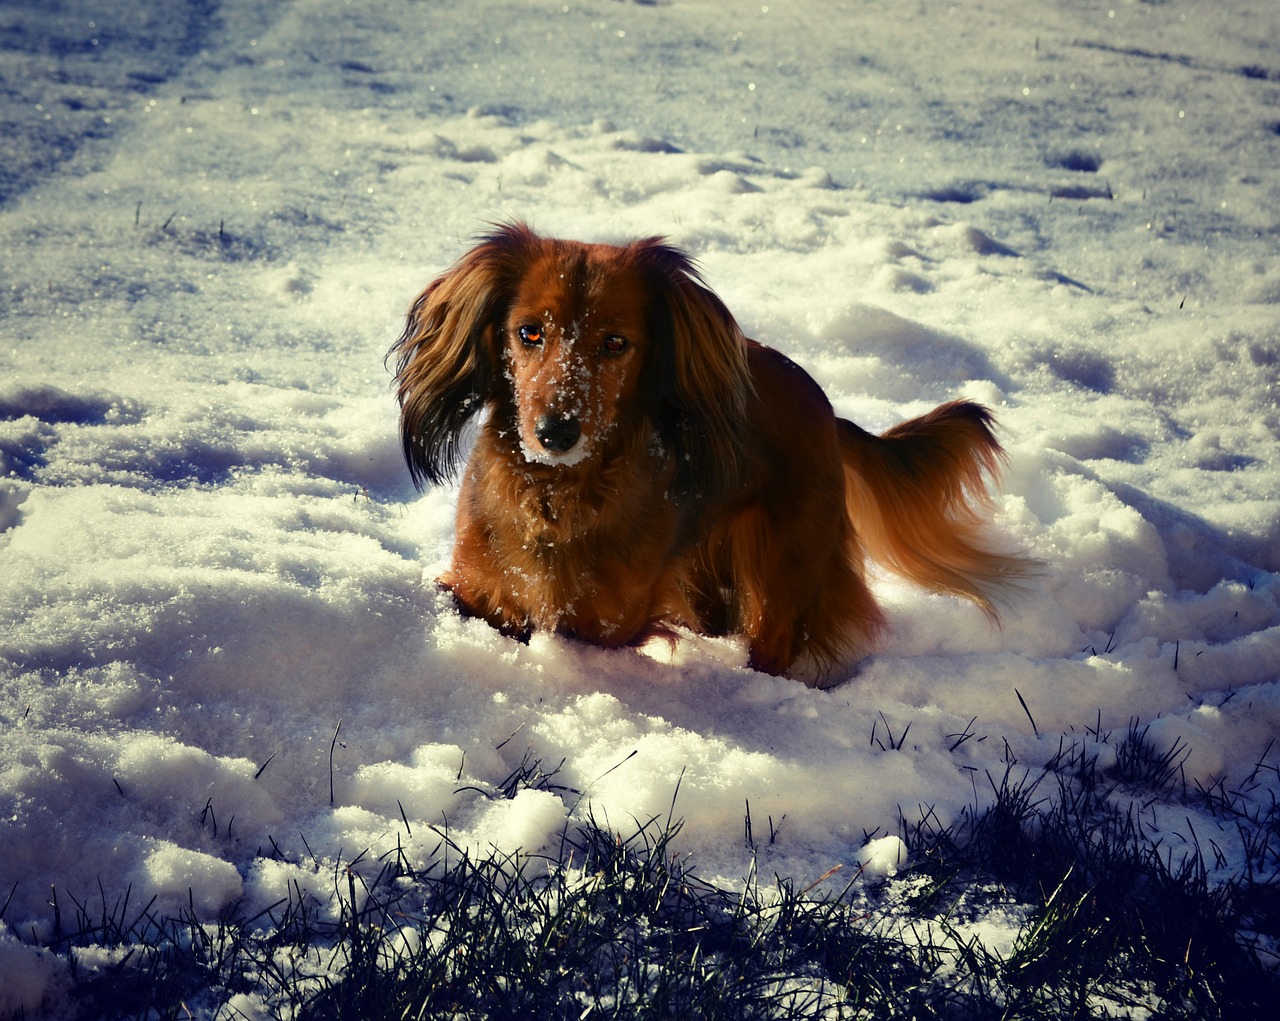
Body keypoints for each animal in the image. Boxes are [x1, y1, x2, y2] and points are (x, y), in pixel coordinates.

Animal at [389, 223, 1029, 685]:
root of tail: (825, 408)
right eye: (528, 332)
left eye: (615, 343)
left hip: (780, 572)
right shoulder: (480, 587)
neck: (556, 496)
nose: (555, 434)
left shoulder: (606, 622)